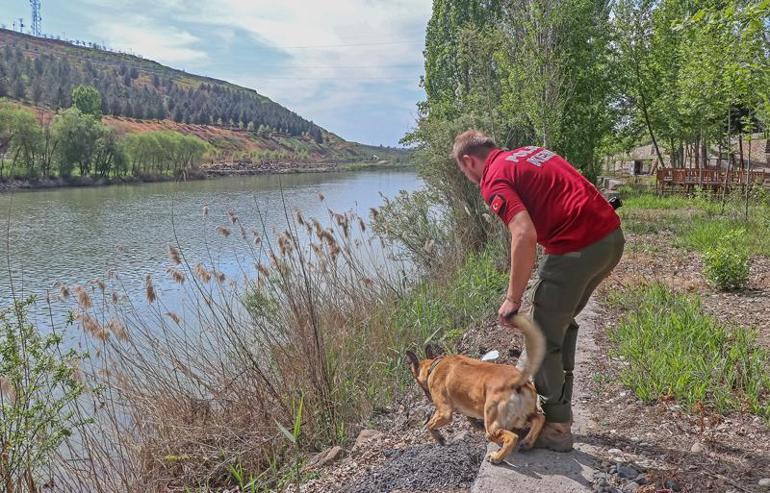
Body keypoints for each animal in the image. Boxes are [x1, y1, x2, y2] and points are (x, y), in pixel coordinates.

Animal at [408, 314, 544, 464]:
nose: (428, 398)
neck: (433, 366)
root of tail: (517, 380)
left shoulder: (444, 413)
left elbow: (429, 425)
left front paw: (439, 438)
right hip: (526, 414)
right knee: (539, 418)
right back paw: (527, 442)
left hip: (491, 426)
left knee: (511, 437)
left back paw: (497, 457)